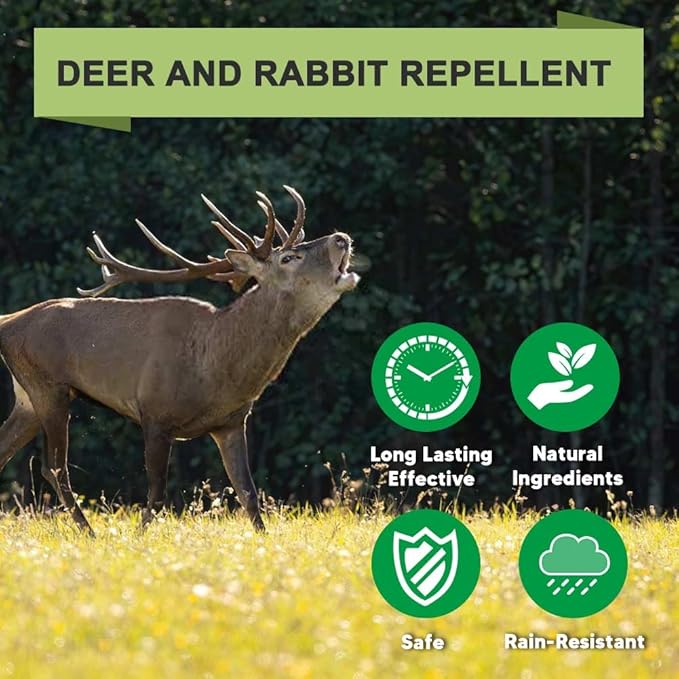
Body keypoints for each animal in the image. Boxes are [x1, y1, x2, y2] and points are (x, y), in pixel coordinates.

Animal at [0, 186, 359, 535]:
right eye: (288, 257)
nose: (341, 237)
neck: (217, 368)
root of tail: (8, 322)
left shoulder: (231, 422)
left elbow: (248, 494)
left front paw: (263, 540)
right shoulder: (155, 413)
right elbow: (157, 495)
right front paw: (140, 539)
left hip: (28, 400)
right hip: (48, 386)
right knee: (55, 467)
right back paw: (89, 533)